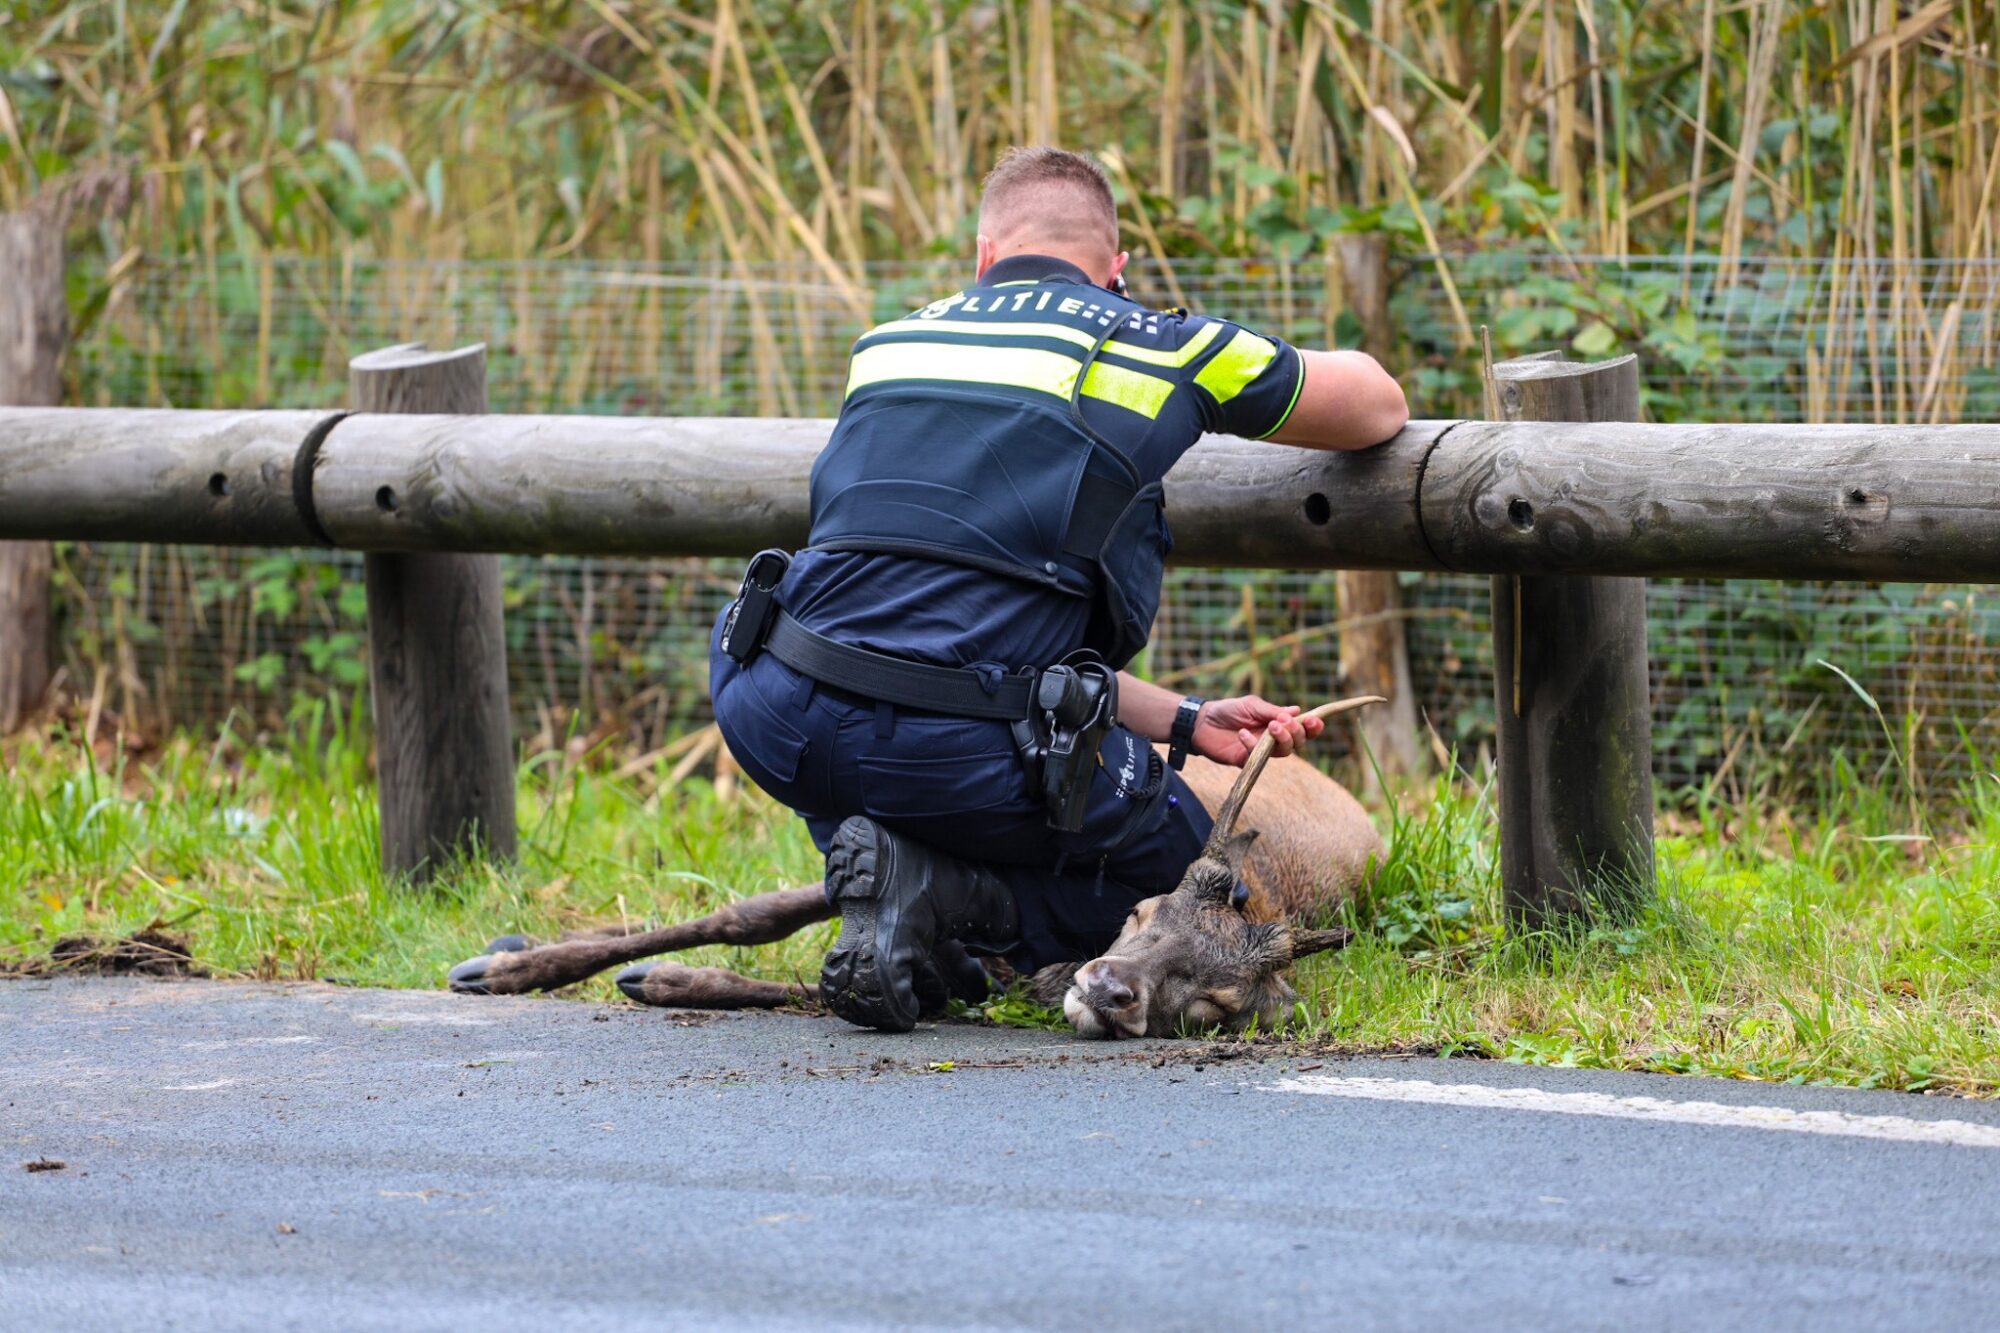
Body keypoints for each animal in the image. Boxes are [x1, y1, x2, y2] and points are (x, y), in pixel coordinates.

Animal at [450, 696, 1392, 1040]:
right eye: (1143, 910)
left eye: (1216, 1003)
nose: (1111, 986)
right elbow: (750, 913)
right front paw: (506, 967)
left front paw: (670, 981)